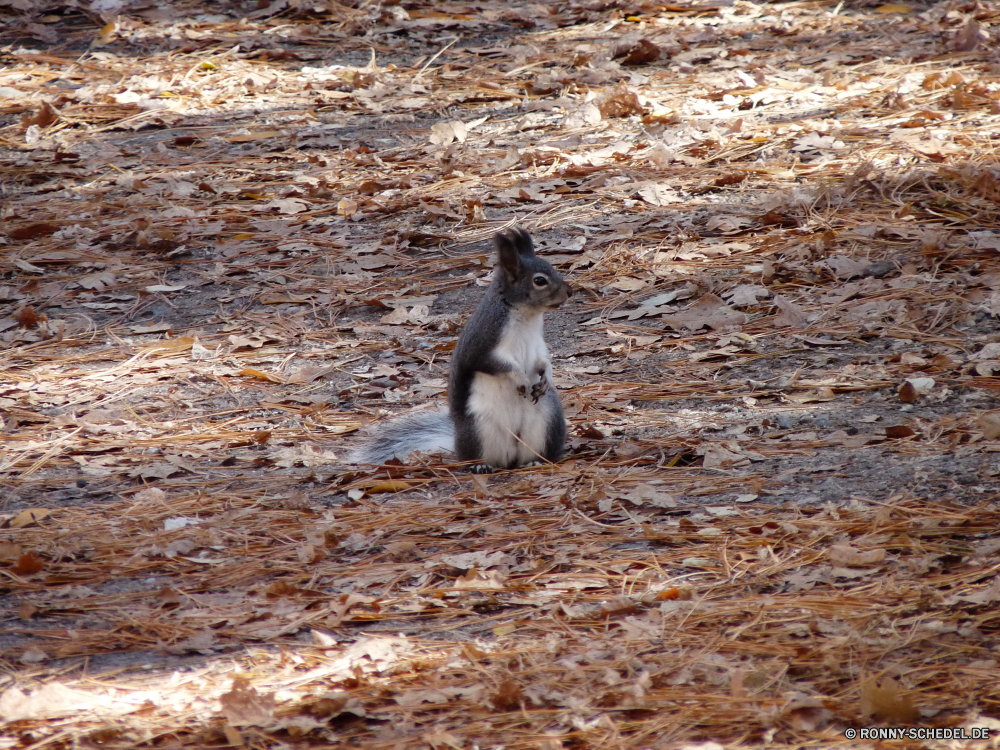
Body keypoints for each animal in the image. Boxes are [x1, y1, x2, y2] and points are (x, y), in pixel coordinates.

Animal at [352, 226, 572, 472]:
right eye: (540, 280)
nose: (570, 291)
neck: (526, 316)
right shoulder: (482, 342)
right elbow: (495, 364)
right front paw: (521, 378)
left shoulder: (537, 343)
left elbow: (543, 360)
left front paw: (547, 378)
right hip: (478, 430)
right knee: (479, 457)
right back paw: (480, 466)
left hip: (547, 422)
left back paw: (534, 461)